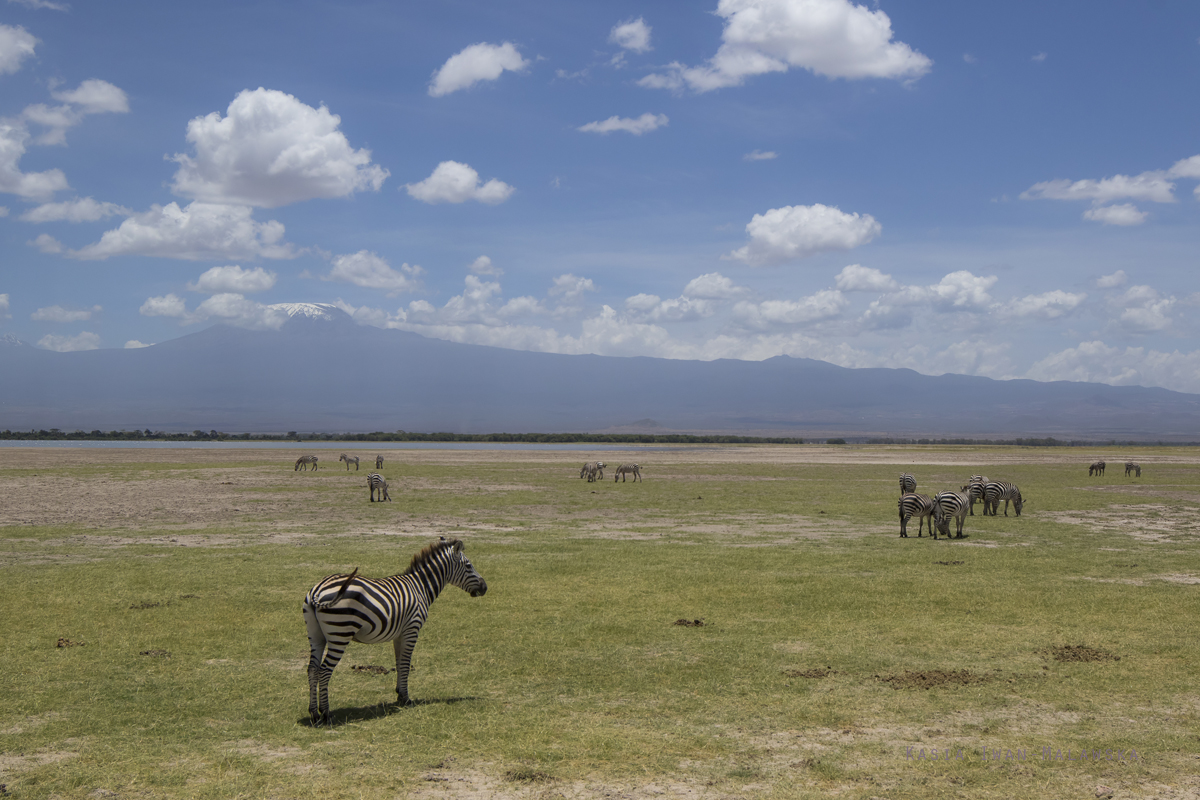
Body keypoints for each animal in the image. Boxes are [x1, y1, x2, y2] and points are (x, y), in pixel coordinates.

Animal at [304, 537, 487, 724]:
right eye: (468, 566)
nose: (484, 587)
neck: (420, 587)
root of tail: (317, 590)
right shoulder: (412, 629)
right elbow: (406, 664)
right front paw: (406, 699)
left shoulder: (399, 633)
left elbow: (399, 663)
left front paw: (399, 694)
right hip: (340, 634)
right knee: (324, 671)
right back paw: (326, 713)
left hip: (316, 636)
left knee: (312, 669)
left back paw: (314, 713)